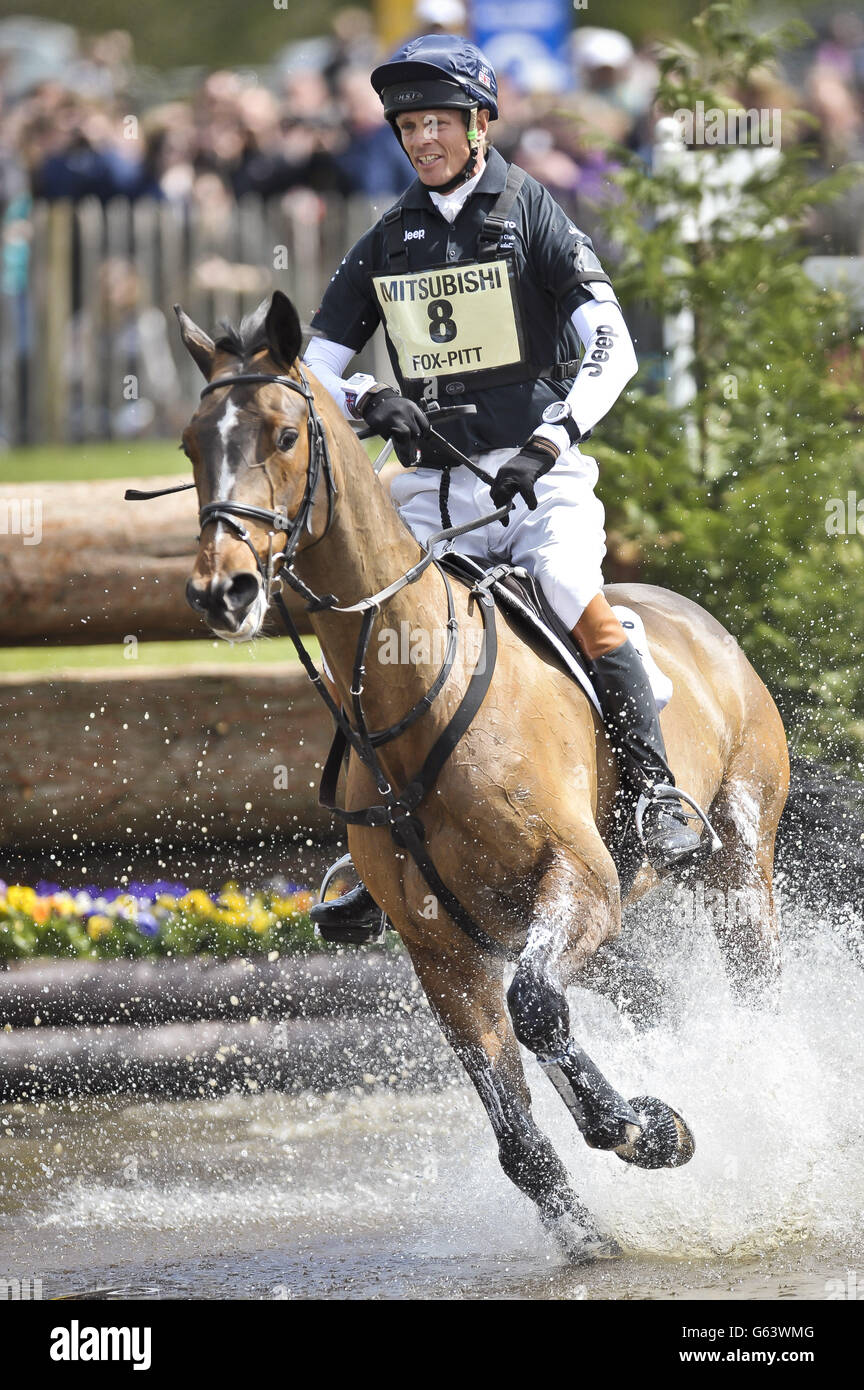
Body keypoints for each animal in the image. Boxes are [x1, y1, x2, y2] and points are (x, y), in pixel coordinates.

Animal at [172, 293, 788, 1262]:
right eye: (192, 443)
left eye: (283, 435)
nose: (221, 590)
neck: (416, 689)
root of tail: (706, 624)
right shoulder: (446, 950)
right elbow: (518, 1125)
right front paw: (594, 1222)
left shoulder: (577, 882)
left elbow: (536, 1010)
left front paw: (648, 1130)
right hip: (615, 934)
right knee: (644, 1005)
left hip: (734, 867)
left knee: (751, 991)